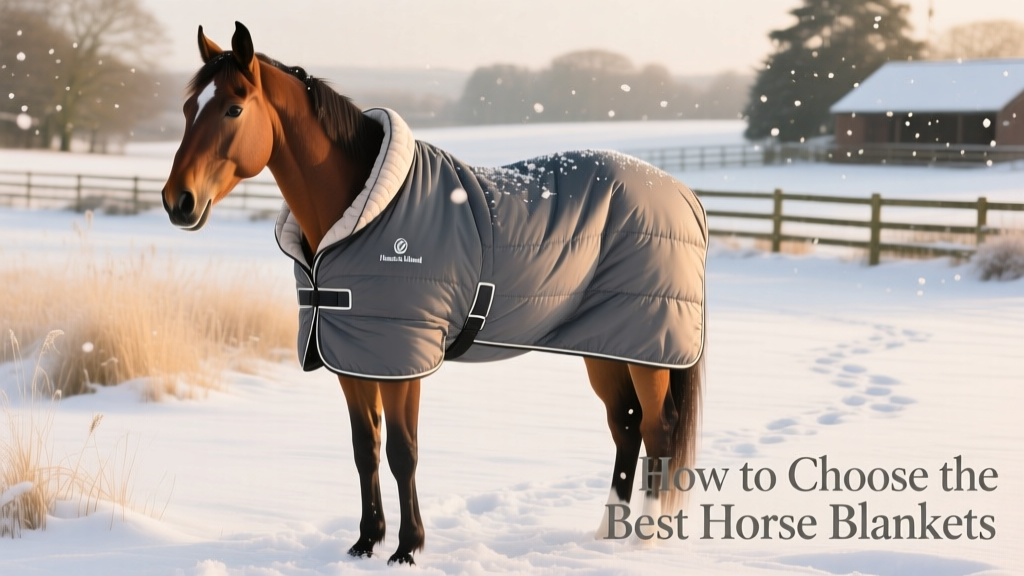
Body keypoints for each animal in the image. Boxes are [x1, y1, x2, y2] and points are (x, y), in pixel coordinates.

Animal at [162, 22, 706, 565]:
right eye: (188, 108)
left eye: (233, 109)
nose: (177, 201)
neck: (367, 212)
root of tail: (684, 195)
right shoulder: (352, 357)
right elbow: (365, 448)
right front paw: (366, 541)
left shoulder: (403, 361)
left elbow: (403, 452)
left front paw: (407, 547)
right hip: (606, 345)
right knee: (626, 424)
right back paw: (607, 531)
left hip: (648, 349)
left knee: (657, 426)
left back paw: (644, 536)